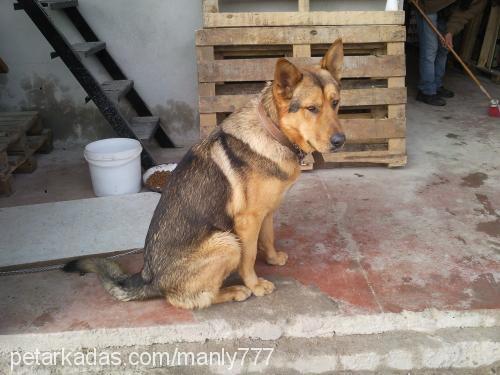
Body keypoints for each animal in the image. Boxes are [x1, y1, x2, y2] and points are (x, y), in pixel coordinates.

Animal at [63, 39, 348, 312]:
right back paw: (234, 291)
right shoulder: (247, 222)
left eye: (335, 104)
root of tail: (149, 278)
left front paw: (273, 258)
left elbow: (268, 238)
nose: (340, 141)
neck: (273, 132)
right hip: (227, 242)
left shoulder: (266, 211)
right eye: (312, 108)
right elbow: (249, 258)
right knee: (187, 299)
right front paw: (255, 285)